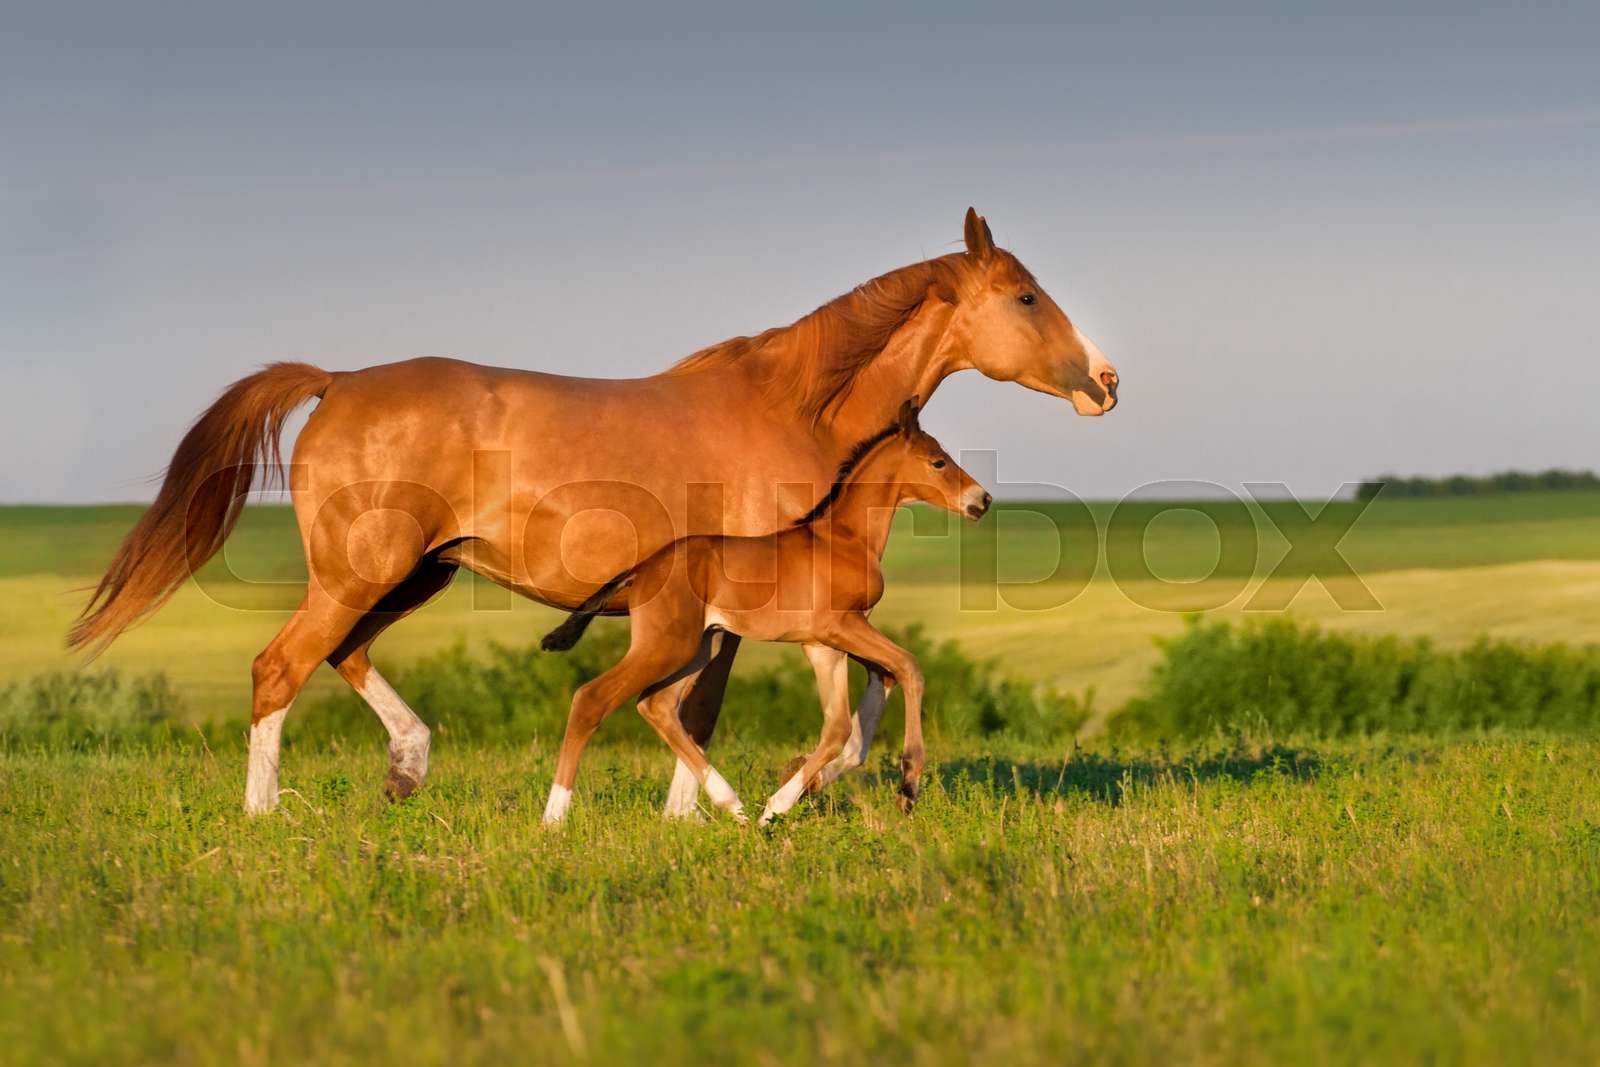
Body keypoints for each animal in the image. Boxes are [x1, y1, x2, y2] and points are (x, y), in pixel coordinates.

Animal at [537, 399, 989, 826]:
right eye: (938, 461)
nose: (982, 501)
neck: (845, 539)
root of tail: (643, 568)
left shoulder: (822, 644)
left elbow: (840, 726)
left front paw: (776, 807)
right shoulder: (840, 626)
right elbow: (909, 667)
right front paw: (907, 788)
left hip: (701, 646)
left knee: (657, 705)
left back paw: (733, 806)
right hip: (667, 645)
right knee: (592, 698)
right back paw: (553, 820)